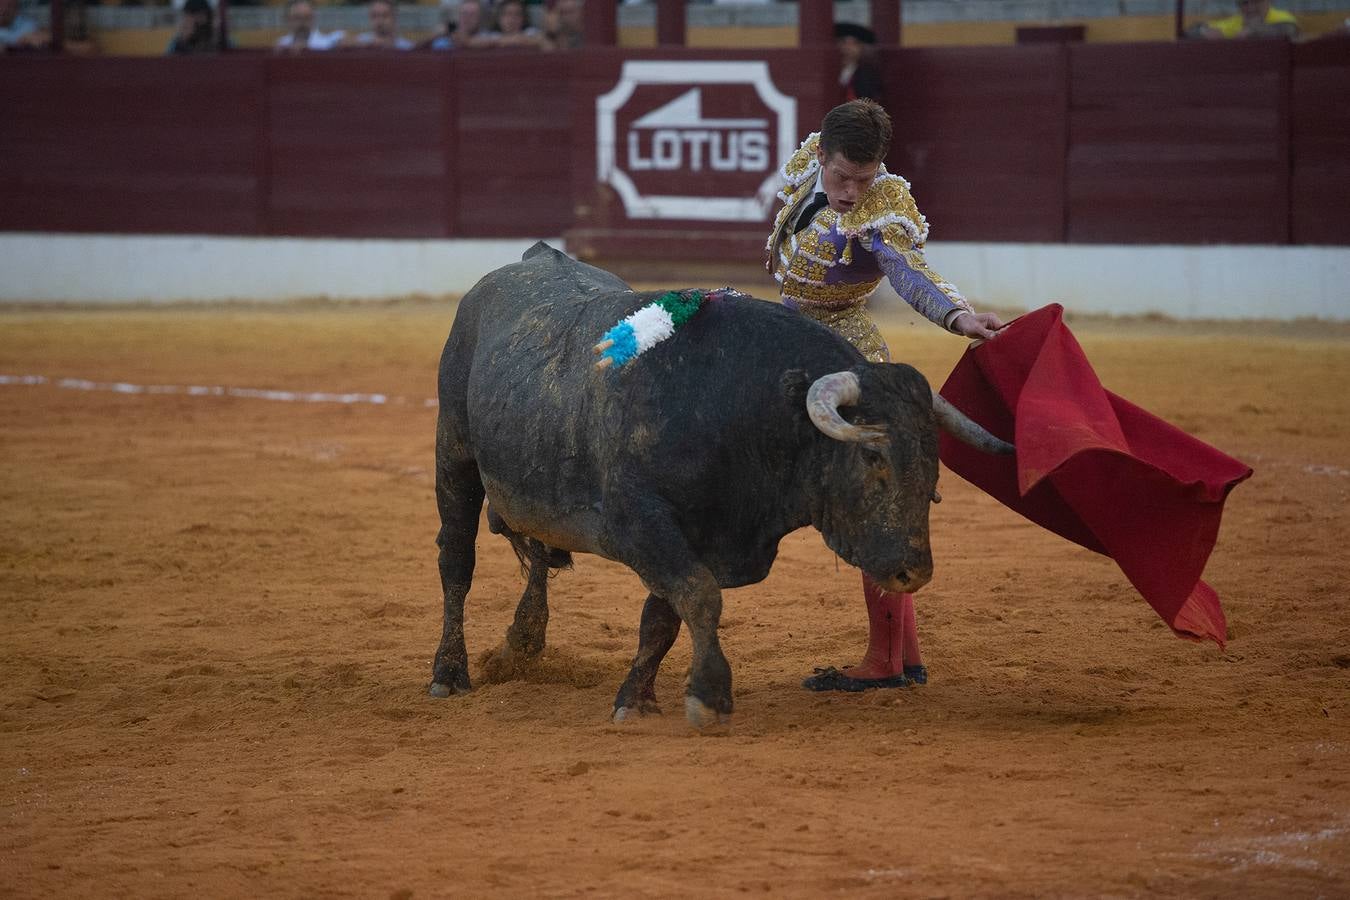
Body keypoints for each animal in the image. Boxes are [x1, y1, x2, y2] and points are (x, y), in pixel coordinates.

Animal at [426, 242, 1009, 728]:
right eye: (871, 454)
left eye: (933, 463)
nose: (914, 572)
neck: (740, 404)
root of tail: (532, 259)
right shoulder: (638, 521)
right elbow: (700, 597)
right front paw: (709, 696)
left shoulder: (698, 537)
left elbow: (663, 617)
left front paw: (636, 698)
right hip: (453, 455)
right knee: (457, 561)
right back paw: (449, 674)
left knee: (539, 555)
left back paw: (520, 645)